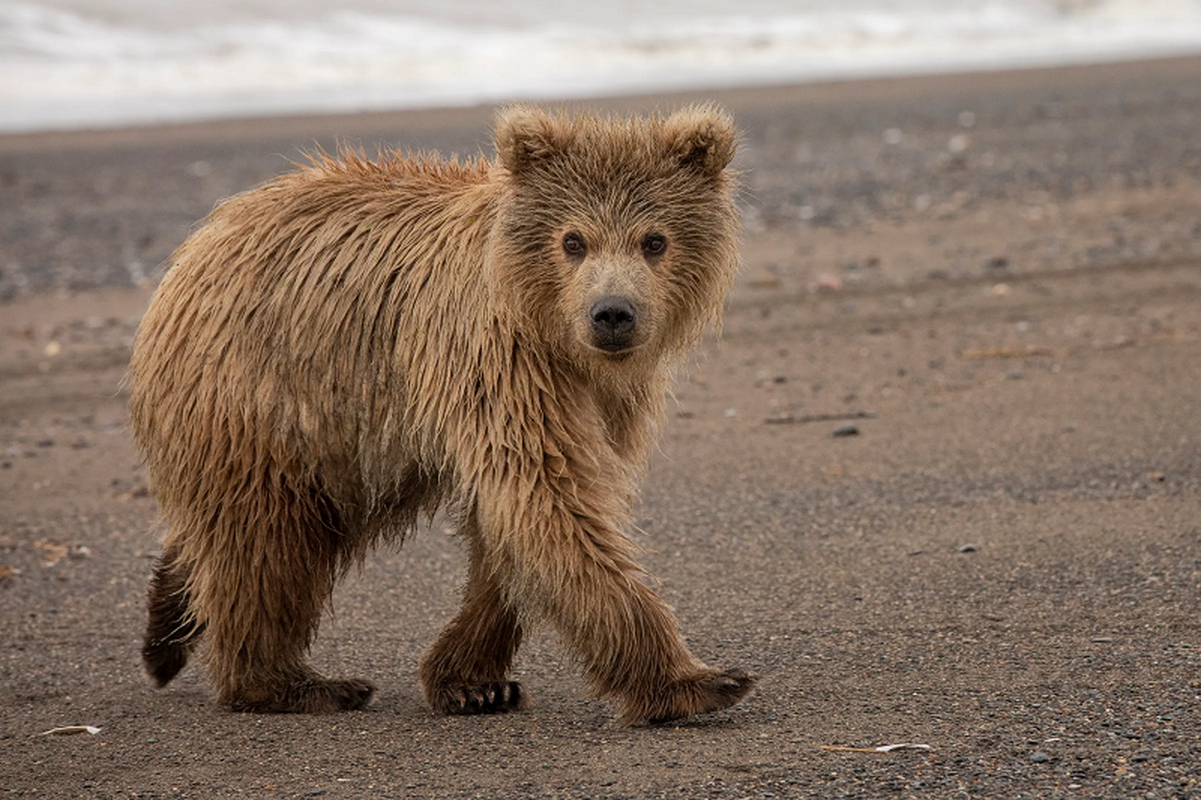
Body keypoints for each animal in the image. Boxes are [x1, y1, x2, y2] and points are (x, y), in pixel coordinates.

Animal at [129, 102, 749, 720]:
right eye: (573, 240)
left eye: (654, 240)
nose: (613, 312)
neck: (554, 333)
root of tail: (196, 247)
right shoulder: (495, 356)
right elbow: (548, 494)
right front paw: (696, 680)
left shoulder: (602, 396)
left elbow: (519, 519)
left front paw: (472, 679)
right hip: (267, 393)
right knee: (265, 536)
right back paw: (292, 682)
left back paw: (167, 626)